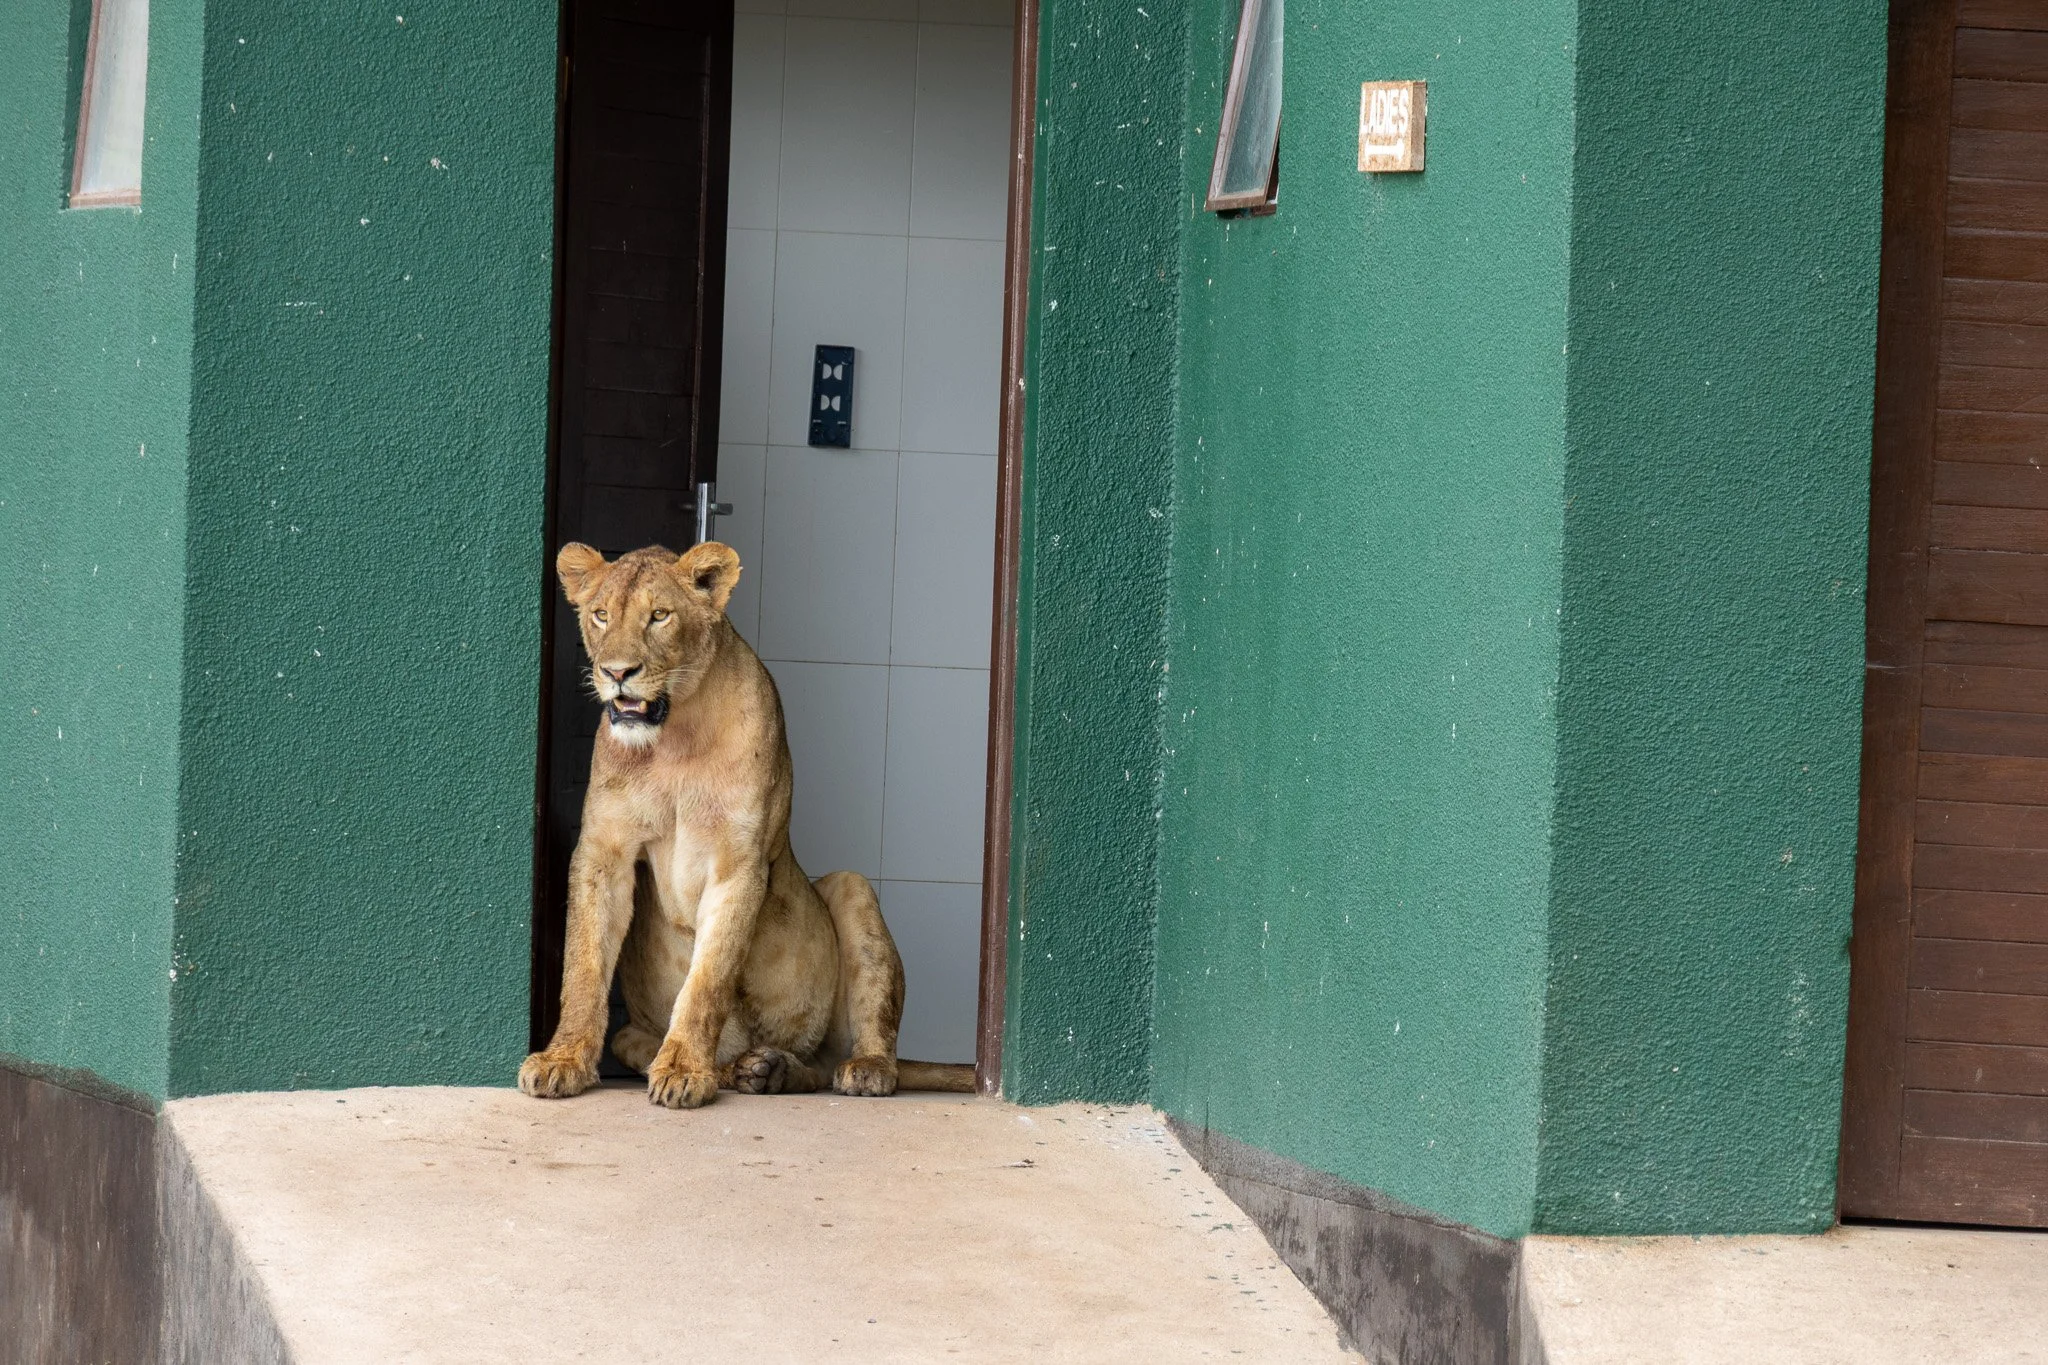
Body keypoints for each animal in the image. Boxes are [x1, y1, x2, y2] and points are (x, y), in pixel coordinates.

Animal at [518, 540, 976, 1108]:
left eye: (659, 616)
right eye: (601, 615)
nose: (616, 672)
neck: (674, 741)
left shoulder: (737, 863)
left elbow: (707, 980)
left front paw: (684, 1070)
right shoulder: (604, 850)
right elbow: (582, 968)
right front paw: (562, 1061)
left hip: (853, 891)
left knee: (860, 1054)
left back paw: (852, 1068)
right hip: (638, 1034)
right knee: (802, 1067)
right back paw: (758, 1069)